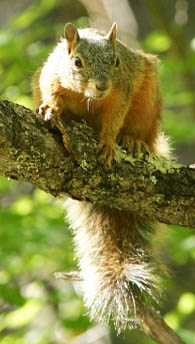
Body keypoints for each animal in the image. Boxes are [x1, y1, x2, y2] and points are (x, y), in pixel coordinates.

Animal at [31, 22, 169, 334]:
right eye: (77, 62)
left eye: (116, 61)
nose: (102, 85)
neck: (87, 98)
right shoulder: (49, 77)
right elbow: (52, 96)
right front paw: (51, 110)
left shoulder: (121, 91)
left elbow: (114, 119)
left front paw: (107, 143)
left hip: (149, 97)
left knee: (140, 130)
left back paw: (133, 142)